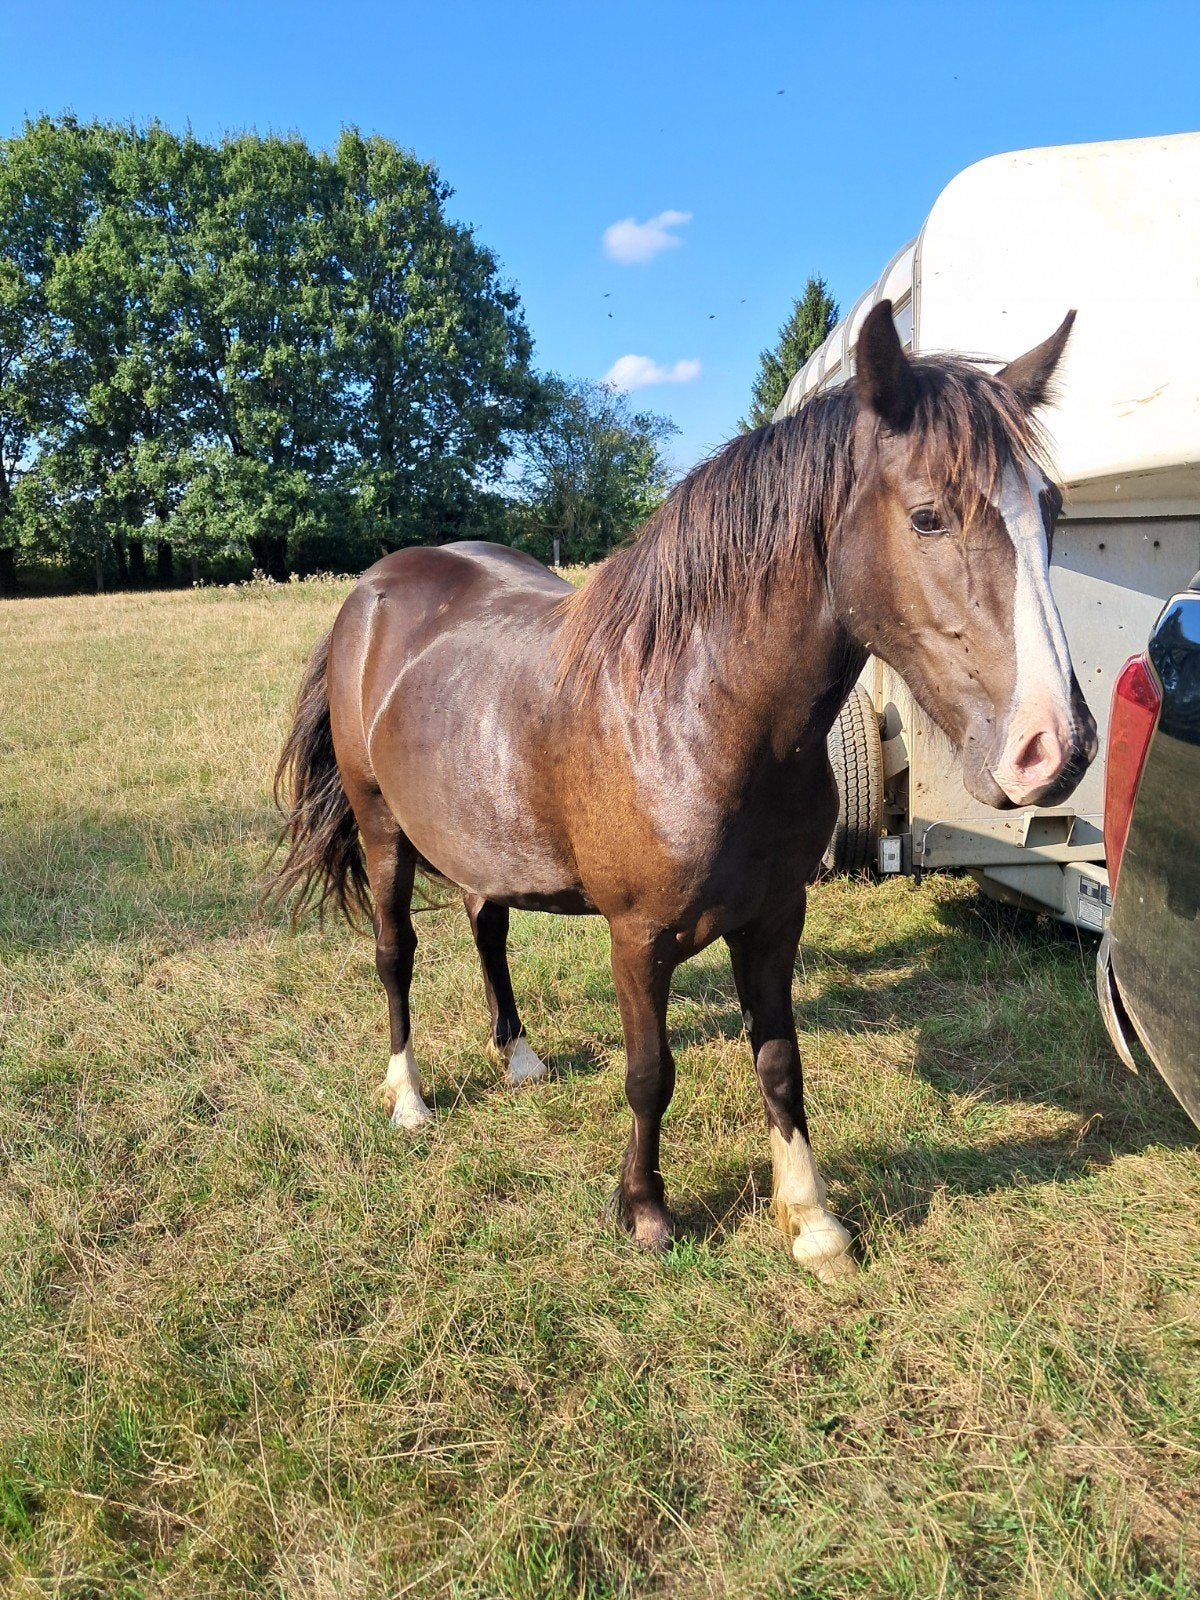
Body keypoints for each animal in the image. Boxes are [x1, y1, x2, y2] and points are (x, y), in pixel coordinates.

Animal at [270, 302, 1096, 1281]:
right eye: (929, 516)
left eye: (1052, 512)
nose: (1058, 748)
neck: (699, 714)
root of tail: (372, 590)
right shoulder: (638, 939)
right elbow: (649, 1073)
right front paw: (645, 1212)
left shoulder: (776, 919)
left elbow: (780, 1060)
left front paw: (812, 1220)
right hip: (382, 828)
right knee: (395, 953)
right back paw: (407, 1096)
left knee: (487, 927)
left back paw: (519, 1055)